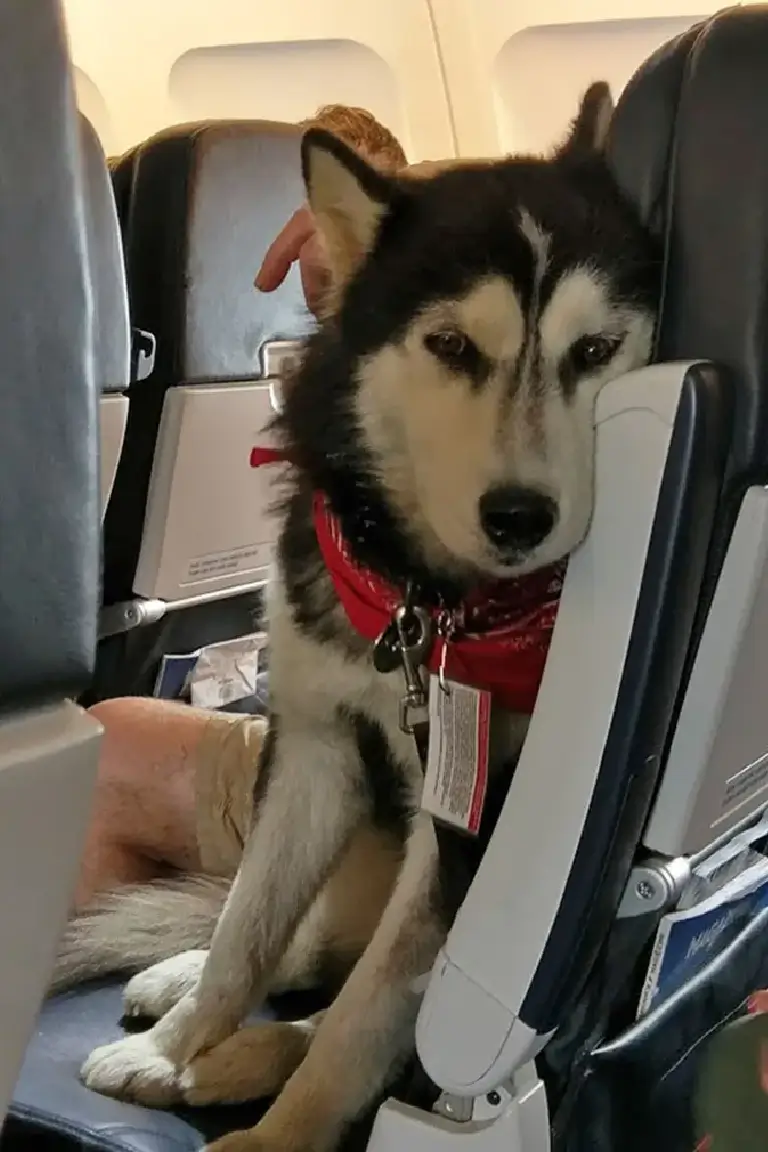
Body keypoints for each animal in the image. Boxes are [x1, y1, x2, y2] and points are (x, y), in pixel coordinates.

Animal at [58, 83, 663, 1152]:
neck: (423, 603)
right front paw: (176, 1044)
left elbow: (365, 1019)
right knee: (293, 941)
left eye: (594, 352)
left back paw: (246, 1059)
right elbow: (247, 930)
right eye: (452, 344)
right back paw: (179, 994)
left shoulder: (469, 837)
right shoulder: (311, 747)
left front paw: (274, 1137)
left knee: (359, 1002)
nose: (521, 517)